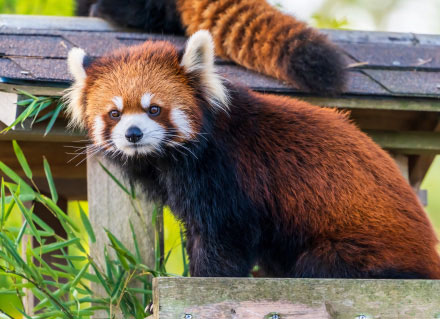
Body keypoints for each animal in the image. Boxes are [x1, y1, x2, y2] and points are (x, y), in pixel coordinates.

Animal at [65, 31, 440, 278]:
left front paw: (206, 277)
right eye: (114, 113)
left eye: (154, 109)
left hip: (366, 251)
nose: (133, 134)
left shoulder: (226, 172)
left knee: (319, 265)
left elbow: (223, 237)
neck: (169, 159)